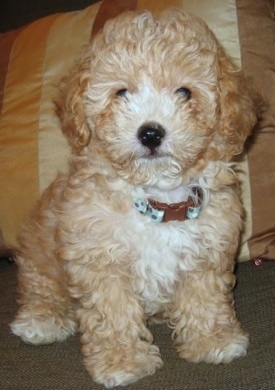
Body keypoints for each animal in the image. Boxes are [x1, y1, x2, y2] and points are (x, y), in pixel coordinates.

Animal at [10, 7, 260, 388]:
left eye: (184, 92)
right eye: (121, 93)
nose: (151, 132)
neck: (157, 198)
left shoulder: (208, 251)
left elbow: (205, 298)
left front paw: (213, 340)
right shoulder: (99, 259)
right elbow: (112, 315)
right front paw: (122, 362)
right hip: (39, 251)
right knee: (40, 286)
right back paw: (42, 319)